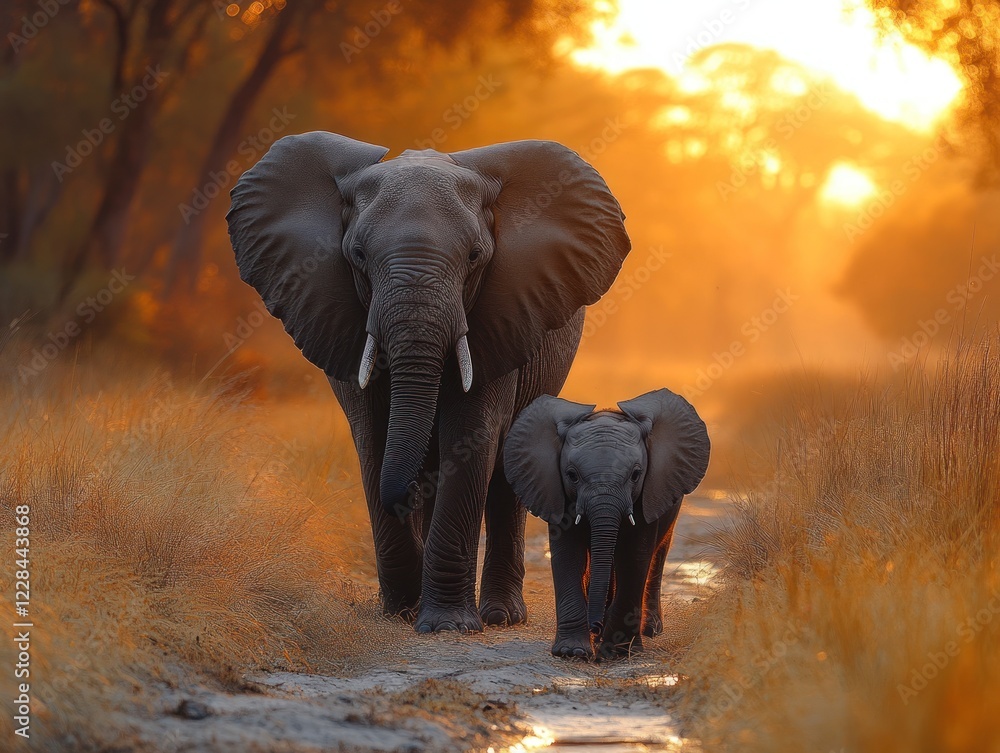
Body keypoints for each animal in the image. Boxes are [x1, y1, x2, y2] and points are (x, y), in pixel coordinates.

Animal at [226, 131, 631, 633]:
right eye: (357, 255)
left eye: (475, 256)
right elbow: (374, 436)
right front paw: (402, 609)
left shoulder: (500, 318)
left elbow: (471, 437)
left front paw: (446, 625)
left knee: (506, 472)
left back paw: (501, 616)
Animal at [503, 388, 710, 658]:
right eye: (572, 475)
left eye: (635, 475)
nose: (595, 626)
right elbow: (569, 554)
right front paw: (572, 651)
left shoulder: (646, 494)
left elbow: (634, 554)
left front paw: (617, 651)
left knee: (657, 553)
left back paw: (649, 630)